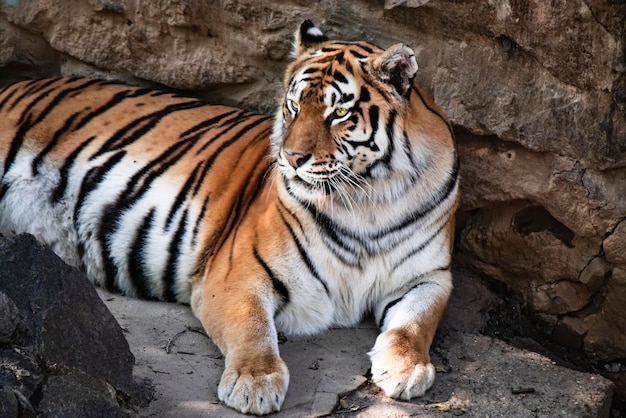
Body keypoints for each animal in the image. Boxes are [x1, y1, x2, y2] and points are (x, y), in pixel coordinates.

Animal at [0, 19, 456, 414]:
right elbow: (252, 326)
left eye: (339, 114)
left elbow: (415, 323)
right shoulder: (236, 273)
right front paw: (253, 384)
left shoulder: (430, 275)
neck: (365, 201)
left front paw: (405, 369)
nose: (292, 158)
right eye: (293, 106)